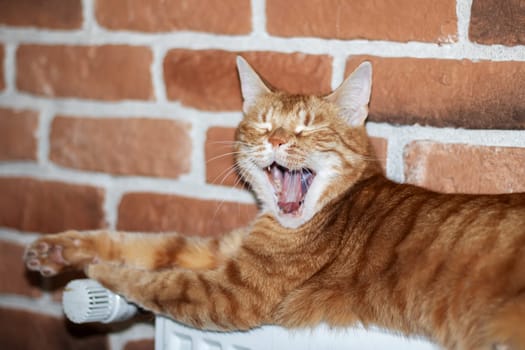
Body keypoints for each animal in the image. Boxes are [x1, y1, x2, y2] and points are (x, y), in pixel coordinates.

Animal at [24, 57, 524, 350]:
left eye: (307, 128)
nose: (279, 140)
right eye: (264, 125)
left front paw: (98, 274)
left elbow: (155, 281)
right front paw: (58, 250)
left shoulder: (230, 294)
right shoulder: (217, 251)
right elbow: (147, 245)